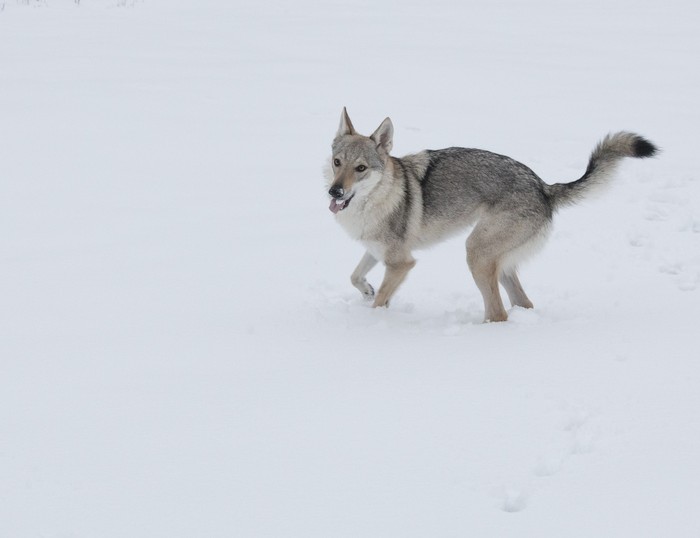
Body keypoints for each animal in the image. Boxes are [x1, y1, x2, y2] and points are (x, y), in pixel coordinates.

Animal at [326, 107, 660, 320]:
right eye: (337, 162)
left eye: (361, 168)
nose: (334, 192)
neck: (376, 199)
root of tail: (543, 186)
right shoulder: (376, 251)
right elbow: (355, 276)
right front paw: (367, 291)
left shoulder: (401, 263)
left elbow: (381, 300)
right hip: (498, 264)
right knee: (522, 304)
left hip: (475, 253)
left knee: (499, 313)